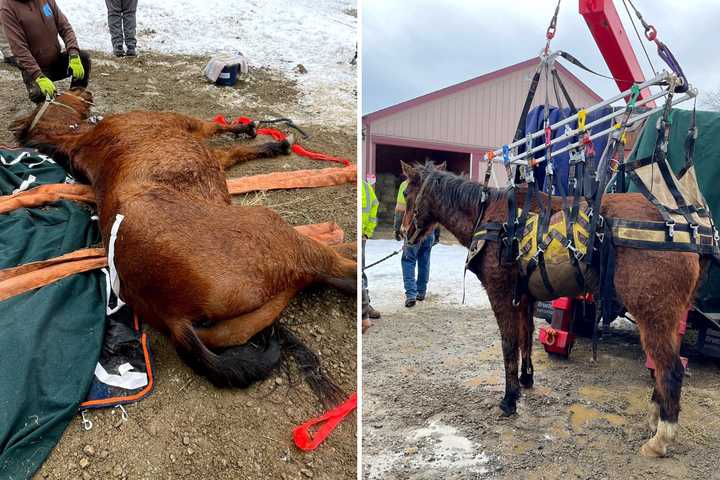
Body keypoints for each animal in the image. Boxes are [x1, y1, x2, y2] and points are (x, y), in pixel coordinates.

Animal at [9, 88, 358, 404]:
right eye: (59, 93)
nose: (83, 89)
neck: (86, 138)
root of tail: (174, 318)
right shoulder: (187, 126)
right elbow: (216, 130)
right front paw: (267, 139)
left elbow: (231, 149)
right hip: (273, 229)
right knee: (337, 269)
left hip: (239, 320)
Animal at [402, 160, 704, 458]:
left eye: (406, 194)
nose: (404, 234)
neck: (489, 216)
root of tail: (682, 232)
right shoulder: (524, 299)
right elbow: (525, 338)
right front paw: (526, 379)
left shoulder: (501, 295)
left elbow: (509, 344)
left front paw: (509, 399)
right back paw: (655, 417)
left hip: (653, 315)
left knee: (671, 369)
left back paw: (661, 437)